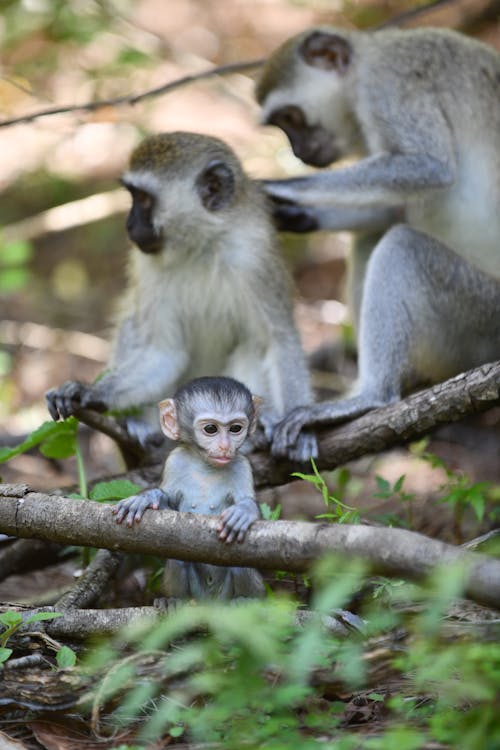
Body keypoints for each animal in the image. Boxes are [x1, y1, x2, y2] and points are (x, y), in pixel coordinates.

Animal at [113, 378, 266, 604]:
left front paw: (243, 511)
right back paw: (174, 601)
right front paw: (147, 498)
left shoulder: (243, 466)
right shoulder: (175, 460)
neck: (206, 467)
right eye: (211, 429)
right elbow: (168, 507)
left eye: (235, 428)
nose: (225, 447)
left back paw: (246, 601)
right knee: (178, 558)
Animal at [256, 26, 500, 456]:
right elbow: (397, 207)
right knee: (370, 239)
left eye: (290, 118)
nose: (297, 152)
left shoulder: (387, 84)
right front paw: (293, 214)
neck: (365, 61)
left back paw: (371, 396)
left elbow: (428, 166)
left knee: (402, 247)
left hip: (483, 310)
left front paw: (274, 187)